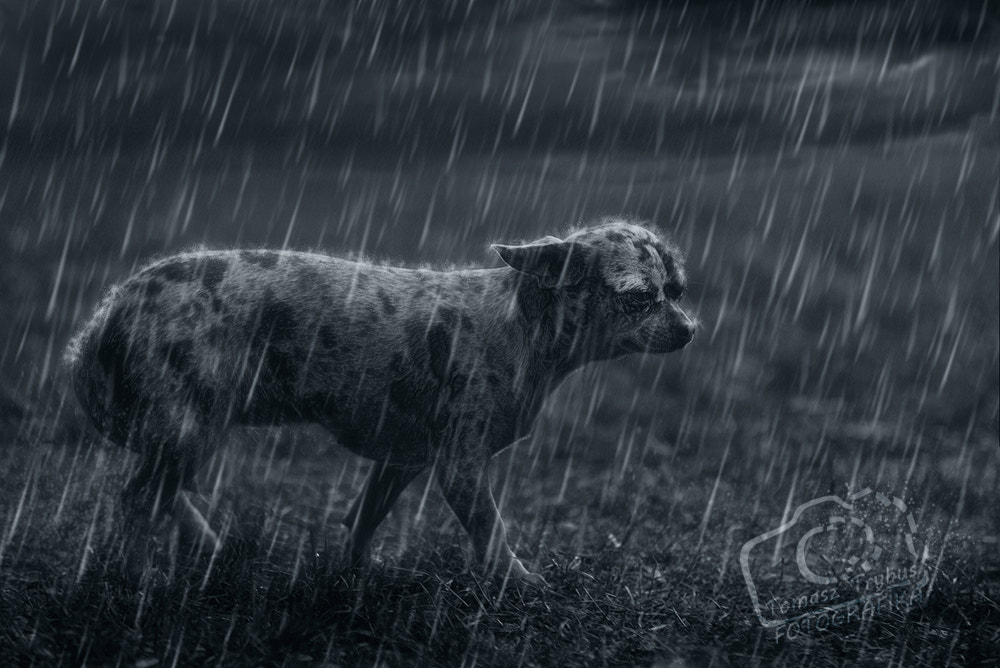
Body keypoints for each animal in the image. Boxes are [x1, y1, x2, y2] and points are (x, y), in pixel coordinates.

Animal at [66, 218, 700, 584]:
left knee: (159, 490)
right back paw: (138, 581)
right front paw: (523, 586)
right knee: (136, 498)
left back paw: (206, 545)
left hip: (186, 432)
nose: (690, 328)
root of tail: (109, 310)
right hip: (187, 426)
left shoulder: (403, 460)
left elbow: (364, 520)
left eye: (677, 292)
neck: (522, 324)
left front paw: (351, 579)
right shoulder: (460, 468)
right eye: (639, 298)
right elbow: (491, 534)